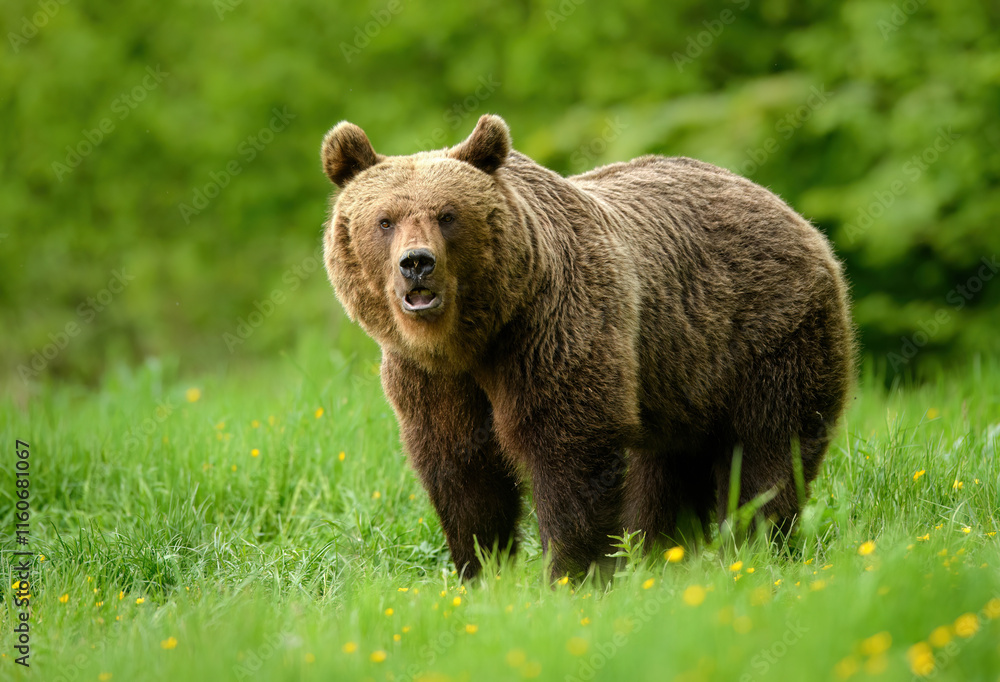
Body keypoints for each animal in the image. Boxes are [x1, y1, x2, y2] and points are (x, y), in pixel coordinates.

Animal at [320, 114, 854, 580]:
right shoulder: (431, 379)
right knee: (667, 469)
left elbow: (569, 451)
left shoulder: (553, 332)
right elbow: (462, 471)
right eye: (385, 220)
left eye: (447, 215)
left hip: (767, 337)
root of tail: (792, 213)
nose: (417, 263)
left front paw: (571, 572)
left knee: (769, 450)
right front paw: (483, 569)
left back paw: (754, 547)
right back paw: (665, 554)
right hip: (678, 376)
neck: (473, 337)